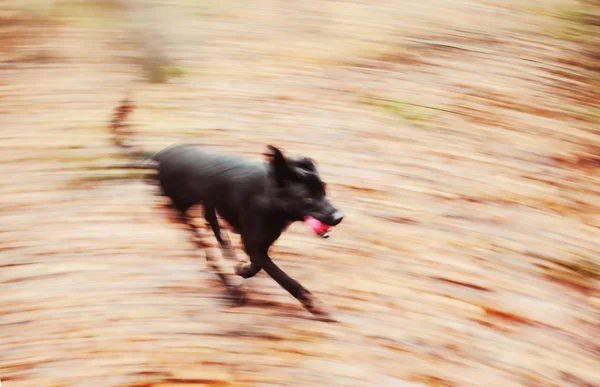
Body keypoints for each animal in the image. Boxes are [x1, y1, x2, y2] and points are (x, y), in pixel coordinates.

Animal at [108, 97, 342, 322]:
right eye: (307, 197)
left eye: (324, 190)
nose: (339, 217)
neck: (268, 199)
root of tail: (157, 157)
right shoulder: (254, 245)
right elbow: (282, 277)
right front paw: (315, 307)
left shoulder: (262, 243)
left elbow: (257, 265)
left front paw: (243, 270)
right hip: (186, 214)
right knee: (207, 248)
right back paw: (228, 283)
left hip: (207, 204)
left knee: (215, 229)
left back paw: (227, 255)